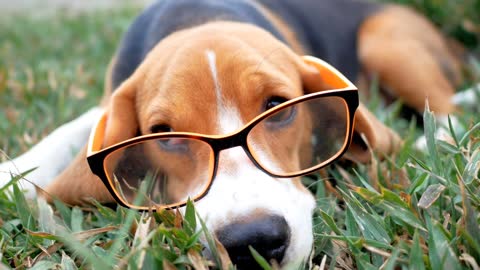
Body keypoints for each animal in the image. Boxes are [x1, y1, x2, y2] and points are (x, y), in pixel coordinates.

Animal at [0, 0, 468, 268]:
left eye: (278, 106)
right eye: (163, 133)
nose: (254, 242)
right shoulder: (109, 98)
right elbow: (73, 129)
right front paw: (14, 171)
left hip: (386, 42)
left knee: (452, 106)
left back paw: (439, 138)